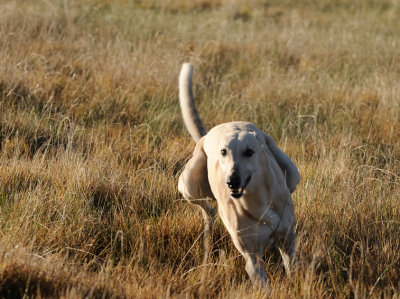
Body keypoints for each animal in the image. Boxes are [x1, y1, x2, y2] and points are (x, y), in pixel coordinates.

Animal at [178, 63, 300, 288]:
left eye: (249, 152)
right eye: (223, 151)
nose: (231, 181)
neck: (257, 201)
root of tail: (208, 134)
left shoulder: (288, 242)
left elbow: (293, 269)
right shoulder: (252, 261)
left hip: (292, 173)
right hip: (188, 184)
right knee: (206, 208)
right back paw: (209, 219)